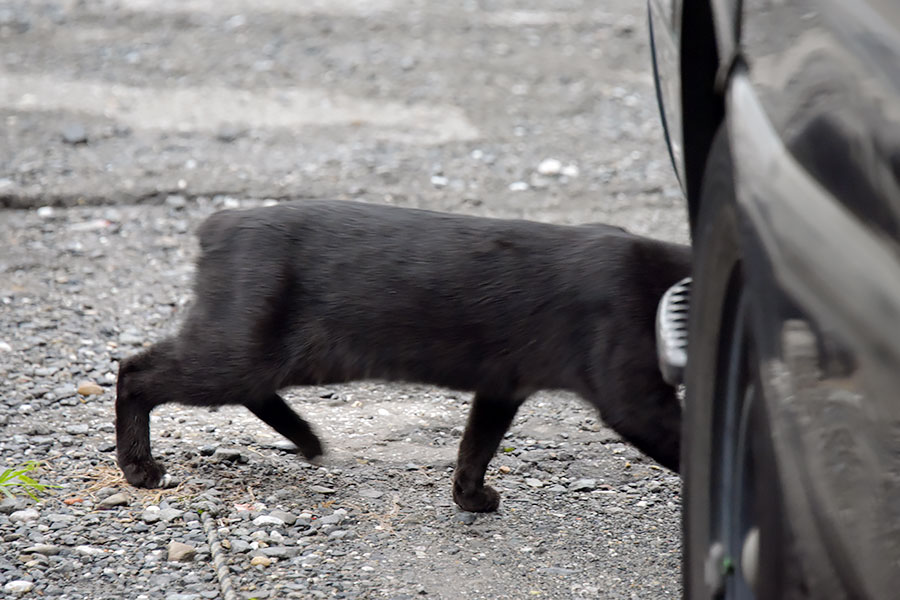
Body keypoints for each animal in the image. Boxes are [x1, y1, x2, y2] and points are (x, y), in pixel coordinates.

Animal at [114, 200, 688, 510]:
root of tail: (223, 221)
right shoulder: (635, 401)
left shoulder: (502, 384)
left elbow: (476, 447)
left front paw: (470, 499)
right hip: (239, 354)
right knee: (134, 371)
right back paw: (139, 468)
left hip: (280, 357)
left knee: (249, 392)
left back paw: (308, 439)